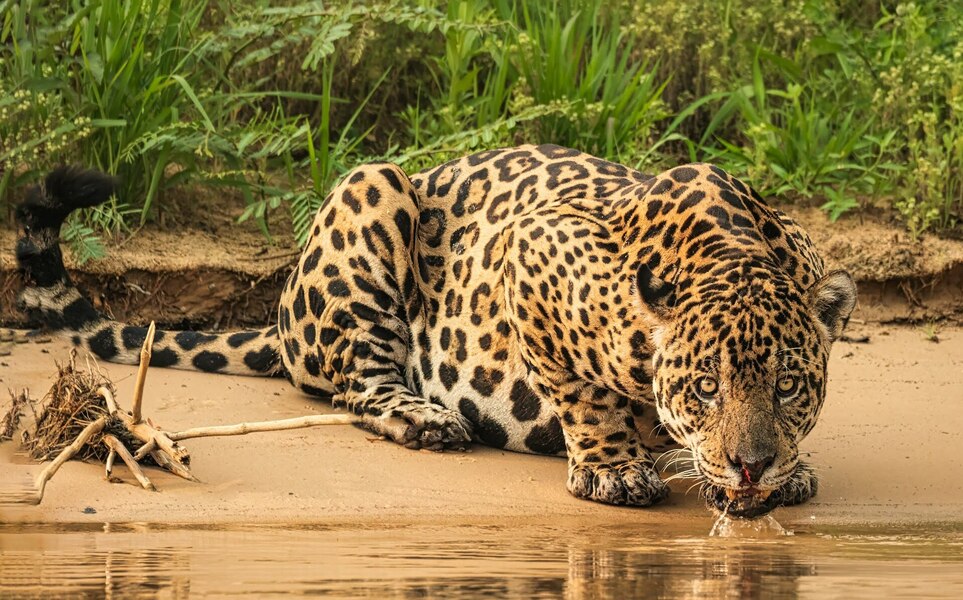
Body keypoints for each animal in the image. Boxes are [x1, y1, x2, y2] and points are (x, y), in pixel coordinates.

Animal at [15, 144, 856, 518]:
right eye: (704, 387)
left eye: (788, 386)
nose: (749, 466)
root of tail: (282, 315)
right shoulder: (533, 250)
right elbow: (583, 394)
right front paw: (613, 469)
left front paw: (788, 470)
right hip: (371, 190)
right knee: (357, 385)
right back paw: (427, 418)